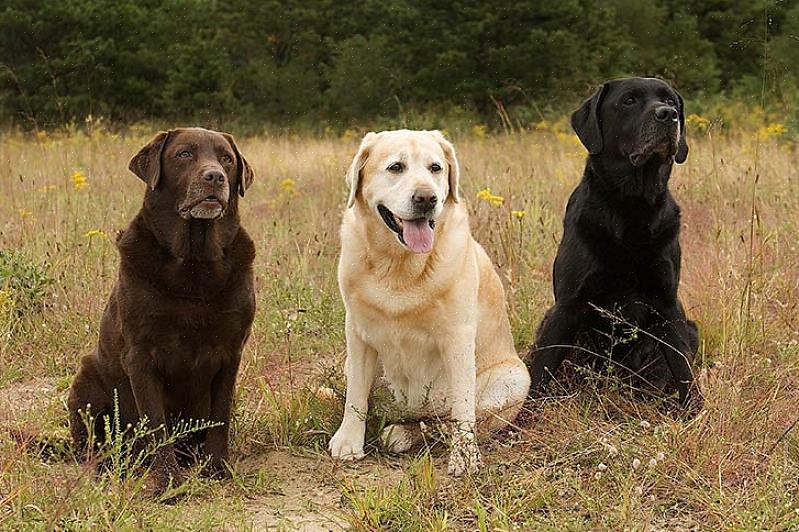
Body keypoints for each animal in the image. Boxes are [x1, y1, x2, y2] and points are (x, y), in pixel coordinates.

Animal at [532, 76, 700, 408]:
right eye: (629, 101)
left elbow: (682, 368)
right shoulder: (568, 305)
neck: (631, 209)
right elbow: (538, 372)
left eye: (670, 101)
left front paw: (694, 412)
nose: (668, 115)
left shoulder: (668, 304)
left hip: (690, 328)